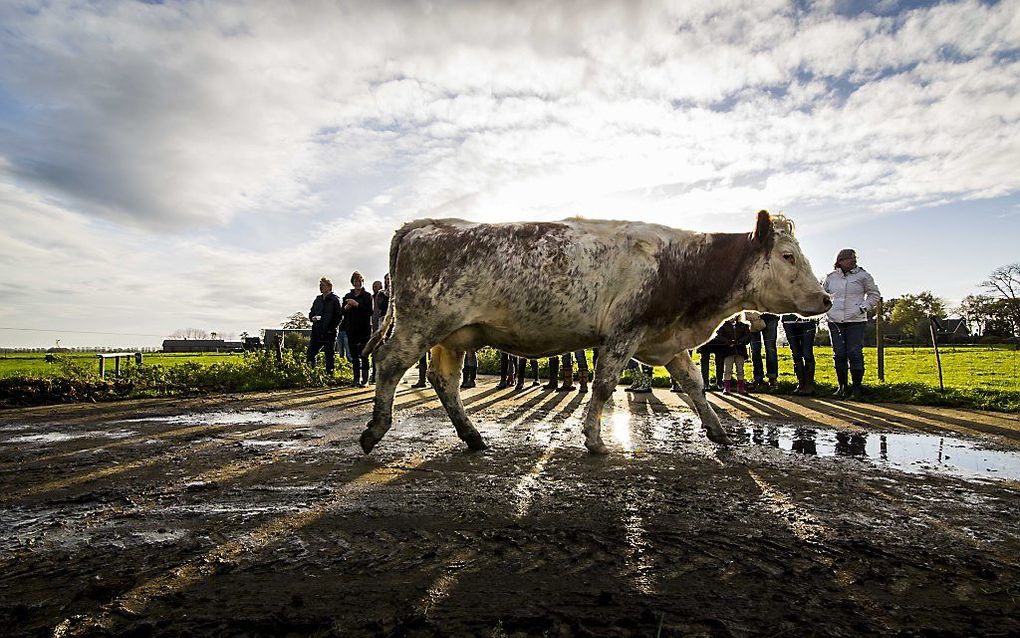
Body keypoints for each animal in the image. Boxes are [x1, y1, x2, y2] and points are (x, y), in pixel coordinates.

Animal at [363, 211, 832, 455]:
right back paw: (375, 429)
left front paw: (718, 433)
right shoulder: (624, 332)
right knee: (389, 362)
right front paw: (594, 439)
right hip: (421, 323)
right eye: (788, 256)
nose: (826, 298)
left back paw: (472, 436)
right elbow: (604, 386)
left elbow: (695, 386)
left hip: (455, 334)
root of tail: (423, 224)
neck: (681, 264)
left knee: (444, 380)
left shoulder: (665, 340)